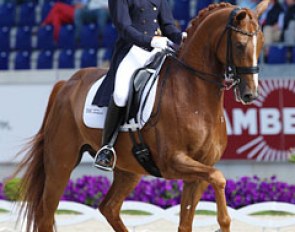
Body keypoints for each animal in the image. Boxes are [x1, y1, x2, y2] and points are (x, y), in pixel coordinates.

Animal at [15, 1, 270, 232]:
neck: (194, 95)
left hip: (129, 169)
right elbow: (219, 178)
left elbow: (188, 220)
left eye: (261, 44)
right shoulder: (174, 162)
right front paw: (224, 223)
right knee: (46, 214)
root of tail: (67, 83)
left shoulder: (199, 169)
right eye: (239, 45)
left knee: (109, 207)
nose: (250, 94)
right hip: (61, 163)